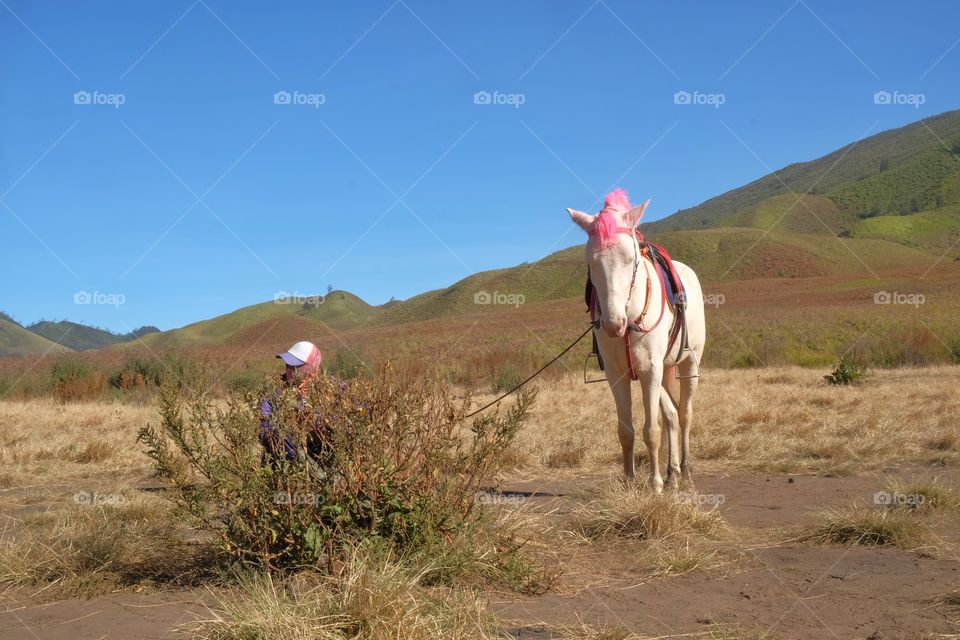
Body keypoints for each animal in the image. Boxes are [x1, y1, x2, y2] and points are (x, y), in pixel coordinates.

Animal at [568, 188, 708, 492]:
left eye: (631, 260)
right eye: (591, 263)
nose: (613, 324)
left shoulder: (649, 370)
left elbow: (651, 430)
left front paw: (654, 485)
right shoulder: (617, 374)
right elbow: (626, 431)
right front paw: (629, 481)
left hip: (688, 364)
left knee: (684, 414)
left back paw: (685, 471)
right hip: (662, 371)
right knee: (671, 414)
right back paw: (672, 473)